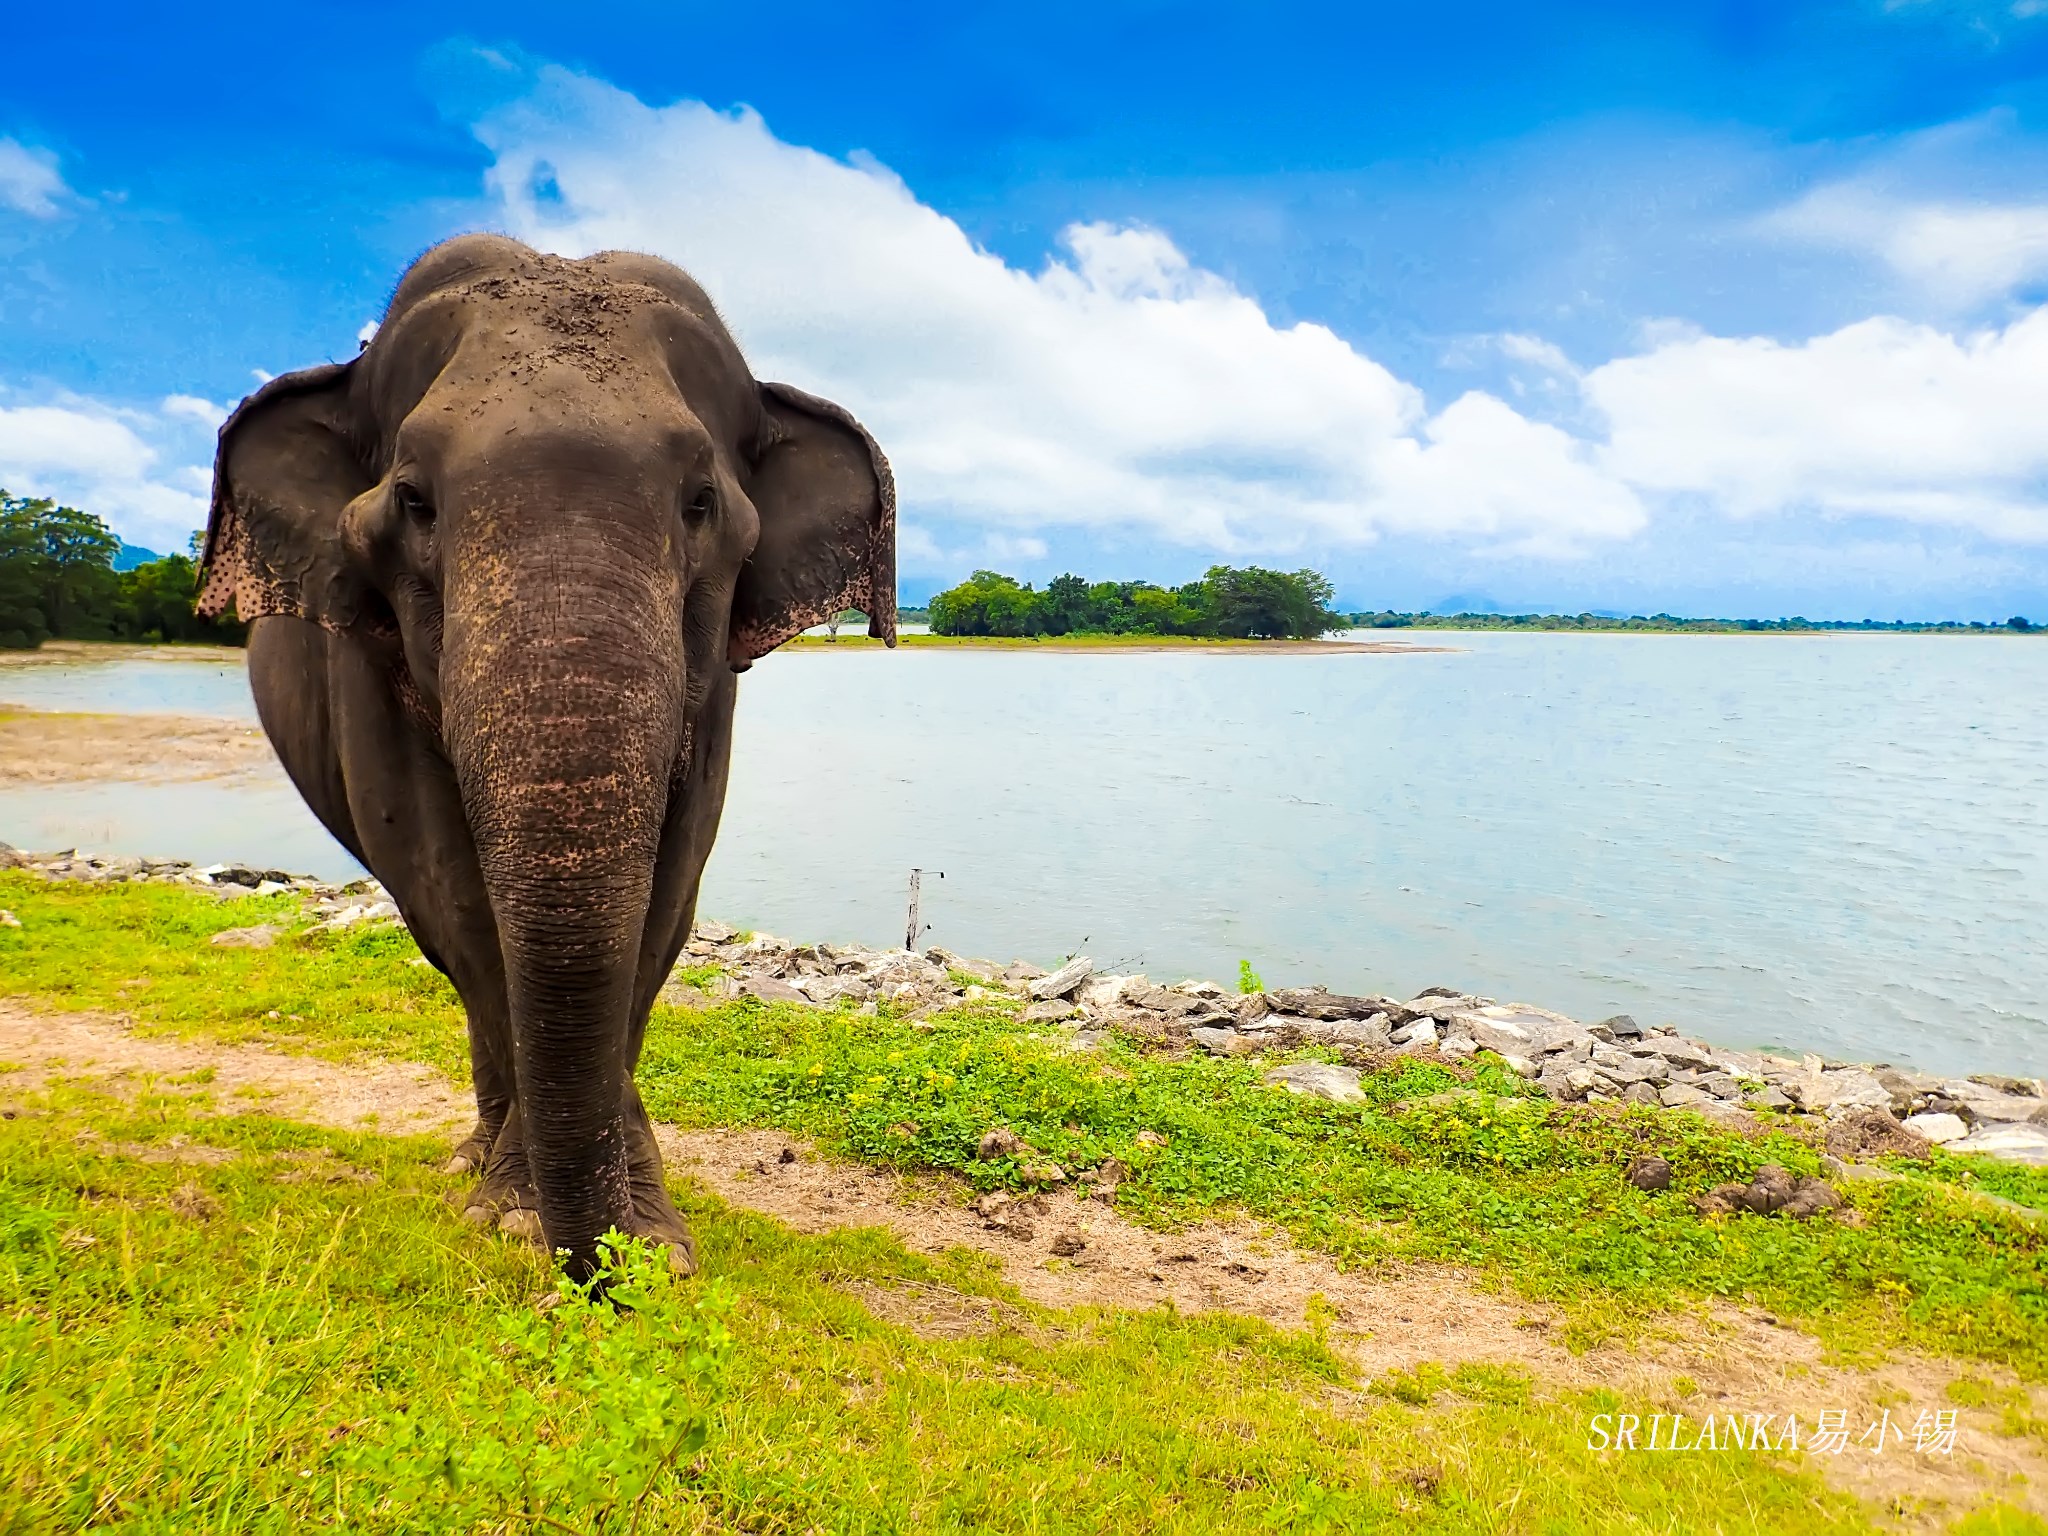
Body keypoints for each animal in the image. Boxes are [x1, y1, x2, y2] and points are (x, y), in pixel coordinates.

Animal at [199, 234, 897, 1277]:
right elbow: (454, 893)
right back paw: (472, 1161)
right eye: (413, 500)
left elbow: (666, 900)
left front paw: (650, 1237)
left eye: (701, 502)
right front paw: (517, 1219)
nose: (596, 1274)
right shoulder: (362, 660)